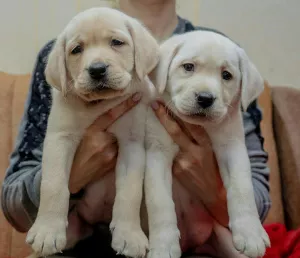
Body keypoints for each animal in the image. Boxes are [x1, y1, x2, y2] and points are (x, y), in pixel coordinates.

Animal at [25, 7, 159, 256]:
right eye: (76, 50)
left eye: (117, 42)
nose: (97, 70)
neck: (100, 104)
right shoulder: (59, 138)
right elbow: (53, 184)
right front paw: (47, 230)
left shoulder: (132, 143)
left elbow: (130, 191)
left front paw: (129, 235)